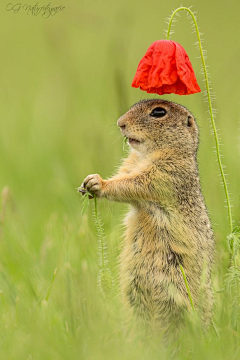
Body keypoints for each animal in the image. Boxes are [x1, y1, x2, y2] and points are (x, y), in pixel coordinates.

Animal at [79, 99, 215, 334]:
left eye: (158, 112)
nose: (120, 123)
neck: (147, 154)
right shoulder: (130, 164)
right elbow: (124, 176)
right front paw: (88, 181)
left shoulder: (165, 174)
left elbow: (131, 184)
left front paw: (99, 183)